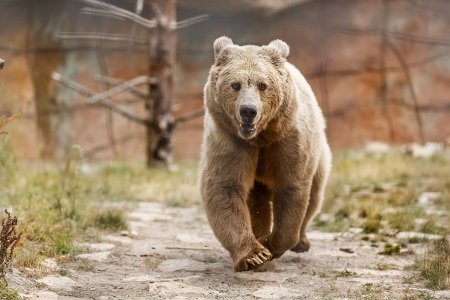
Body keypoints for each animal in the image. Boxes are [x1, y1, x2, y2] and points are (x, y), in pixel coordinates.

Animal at [200, 35, 330, 272]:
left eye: (263, 85)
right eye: (236, 84)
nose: (248, 111)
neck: (260, 138)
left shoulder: (288, 142)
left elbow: (291, 188)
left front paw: (272, 244)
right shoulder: (231, 142)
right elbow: (225, 188)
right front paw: (255, 255)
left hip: (319, 151)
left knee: (315, 194)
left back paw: (301, 242)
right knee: (256, 201)